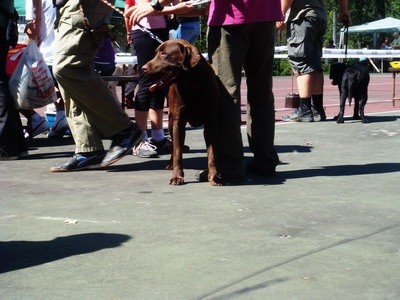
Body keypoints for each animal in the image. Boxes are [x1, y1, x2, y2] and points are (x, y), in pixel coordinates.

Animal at [141, 39, 220, 185]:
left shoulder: (210, 122)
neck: (192, 83)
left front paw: (214, 176)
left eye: (164, 53)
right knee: (173, 145)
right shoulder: (178, 122)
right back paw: (170, 164)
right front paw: (177, 176)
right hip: (171, 122)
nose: (143, 68)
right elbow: (177, 152)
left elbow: (212, 153)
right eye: (156, 53)